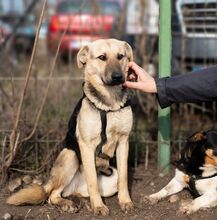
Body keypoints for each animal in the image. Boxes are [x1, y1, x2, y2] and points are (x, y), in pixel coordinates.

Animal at [6, 38, 134, 216]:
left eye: (120, 56)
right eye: (102, 57)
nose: (118, 77)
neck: (108, 106)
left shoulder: (123, 142)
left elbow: (123, 178)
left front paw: (125, 201)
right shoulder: (87, 146)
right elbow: (93, 180)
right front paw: (99, 206)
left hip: (106, 179)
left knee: (74, 192)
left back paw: (80, 201)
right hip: (70, 156)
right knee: (52, 194)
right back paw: (68, 203)